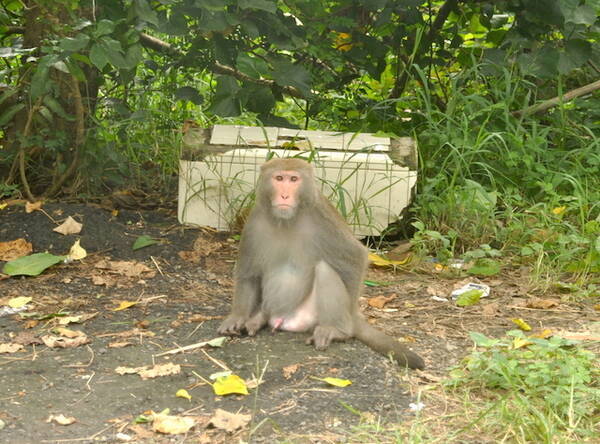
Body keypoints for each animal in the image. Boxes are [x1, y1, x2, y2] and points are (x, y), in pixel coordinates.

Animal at [218, 158, 424, 370]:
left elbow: (356, 256)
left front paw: (347, 326)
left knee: (325, 270)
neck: (287, 221)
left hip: (310, 316)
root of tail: (281, 318)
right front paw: (238, 316)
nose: (284, 195)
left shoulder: (321, 215)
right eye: (279, 178)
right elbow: (248, 274)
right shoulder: (254, 220)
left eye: (294, 179)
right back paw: (260, 317)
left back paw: (335, 329)